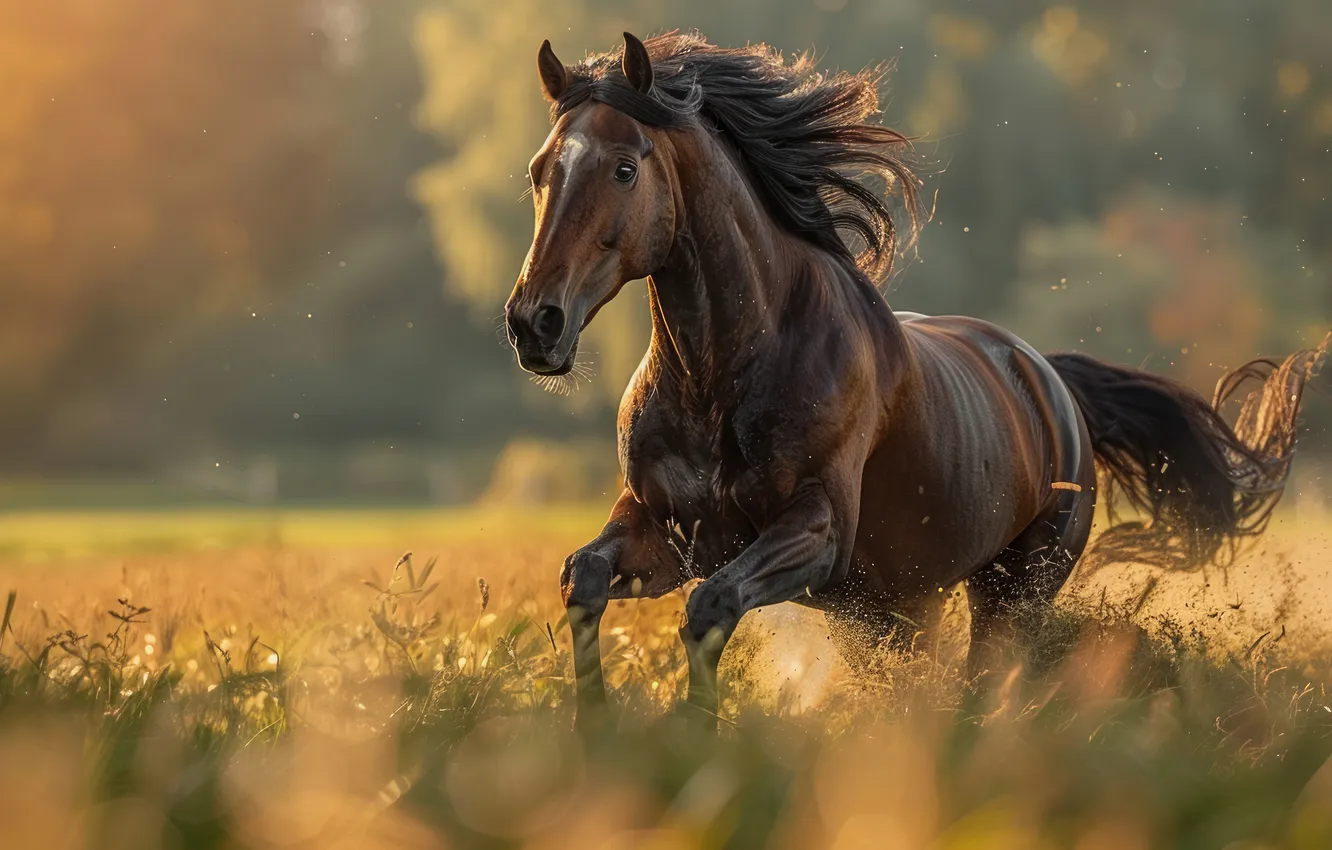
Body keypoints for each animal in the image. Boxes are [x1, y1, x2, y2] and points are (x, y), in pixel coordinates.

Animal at [502, 31, 1326, 724]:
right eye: (540, 171)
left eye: (624, 168)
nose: (534, 323)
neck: (721, 381)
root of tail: (1052, 384)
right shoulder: (664, 527)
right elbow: (583, 580)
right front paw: (594, 732)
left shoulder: (815, 533)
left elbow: (711, 605)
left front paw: (696, 738)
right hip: (896, 608)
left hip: (1012, 590)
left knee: (986, 681)